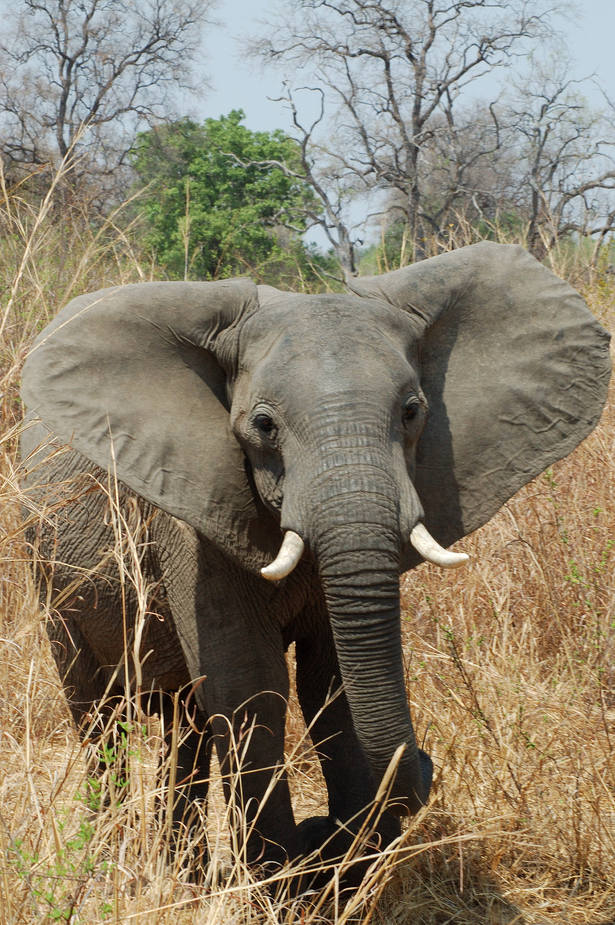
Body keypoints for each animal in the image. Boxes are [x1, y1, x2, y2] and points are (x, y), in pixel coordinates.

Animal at [19, 242, 612, 876]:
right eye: (263, 425)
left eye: (412, 412)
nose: (427, 763)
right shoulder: (191, 508)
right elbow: (248, 683)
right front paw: (277, 881)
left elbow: (332, 684)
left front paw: (345, 872)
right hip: (48, 572)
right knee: (97, 715)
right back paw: (114, 863)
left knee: (185, 720)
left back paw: (185, 871)